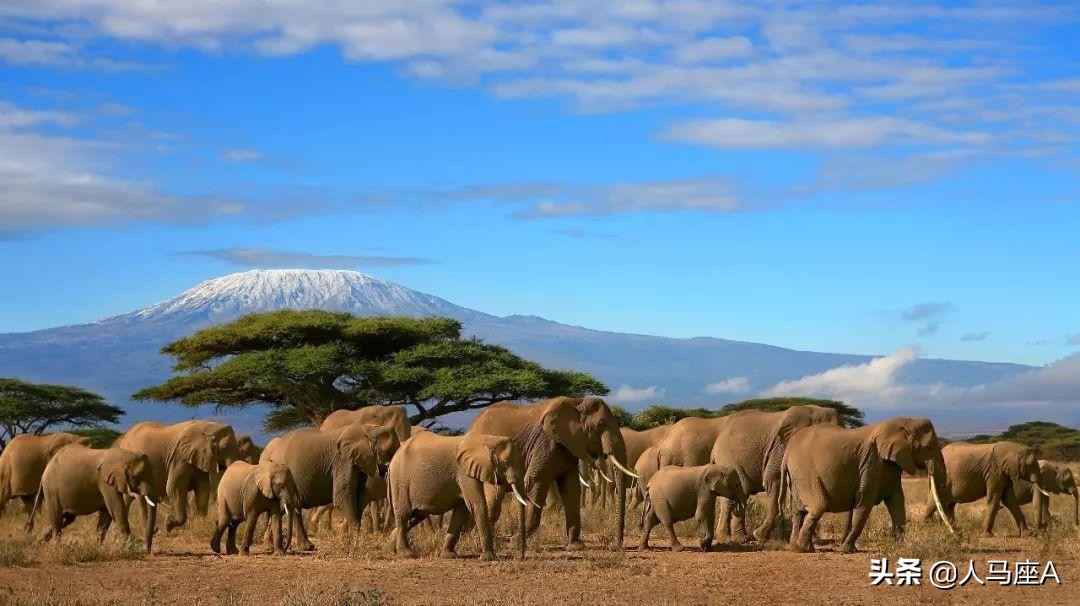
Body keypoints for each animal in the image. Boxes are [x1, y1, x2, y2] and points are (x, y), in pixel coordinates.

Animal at [259, 424, 398, 551]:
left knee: (290, 508)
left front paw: (351, 543)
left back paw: (302, 547)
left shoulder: (358, 463)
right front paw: (356, 546)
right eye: (388, 452)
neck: (369, 429)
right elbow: (342, 496)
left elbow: (359, 498)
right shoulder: (343, 461)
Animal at [388, 431, 533, 561]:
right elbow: (477, 505)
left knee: (415, 516)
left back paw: (392, 545)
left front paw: (448, 556)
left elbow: (461, 511)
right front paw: (488, 558)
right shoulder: (464, 472)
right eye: (505, 462)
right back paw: (406, 554)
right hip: (400, 481)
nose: (521, 557)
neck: (486, 440)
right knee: (404, 514)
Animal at [468, 396, 637, 550]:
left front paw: (575, 546)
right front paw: (515, 543)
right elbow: (536, 482)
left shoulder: (568, 446)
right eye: (601, 424)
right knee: (494, 497)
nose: (617, 546)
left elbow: (571, 488)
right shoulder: (545, 443)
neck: (577, 402)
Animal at [709, 406, 839, 541]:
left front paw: (813, 539)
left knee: (741, 492)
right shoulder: (781, 448)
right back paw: (729, 538)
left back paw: (741, 538)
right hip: (727, 459)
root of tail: (717, 442)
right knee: (736, 493)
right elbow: (773, 479)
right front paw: (759, 536)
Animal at [784, 417, 951, 554]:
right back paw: (804, 548)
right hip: (805, 473)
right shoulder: (872, 463)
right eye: (928, 447)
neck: (905, 422)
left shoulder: (890, 466)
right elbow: (864, 502)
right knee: (818, 506)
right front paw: (848, 550)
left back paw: (795, 547)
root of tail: (787, 452)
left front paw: (900, 547)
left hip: (796, 478)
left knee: (798, 512)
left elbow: (897, 501)